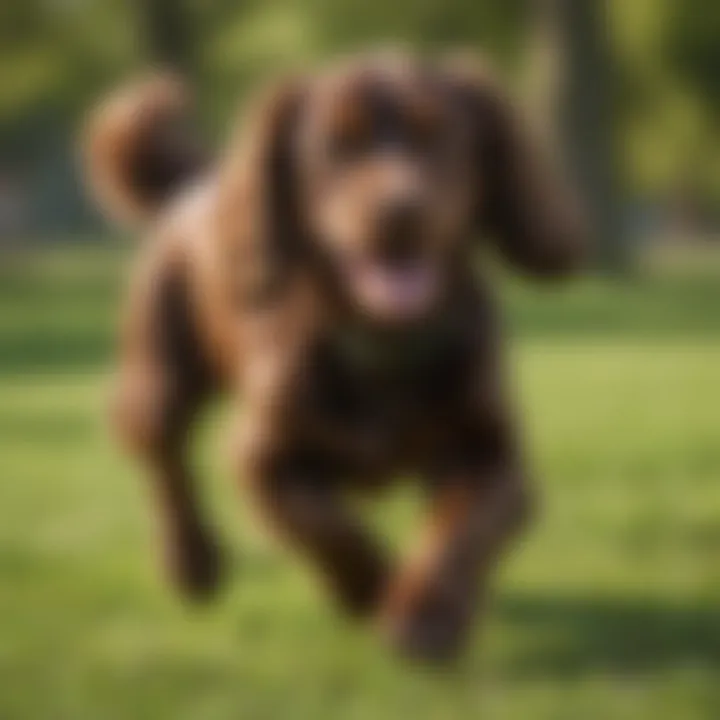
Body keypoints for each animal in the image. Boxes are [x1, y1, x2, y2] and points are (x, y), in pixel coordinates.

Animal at [81, 50, 584, 664]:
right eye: (335, 146)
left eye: (438, 135)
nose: (402, 211)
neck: (384, 341)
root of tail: (192, 184)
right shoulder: (261, 458)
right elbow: (323, 524)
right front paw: (369, 590)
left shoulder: (494, 454)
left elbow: (459, 532)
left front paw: (427, 619)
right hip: (158, 376)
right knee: (165, 463)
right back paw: (192, 563)